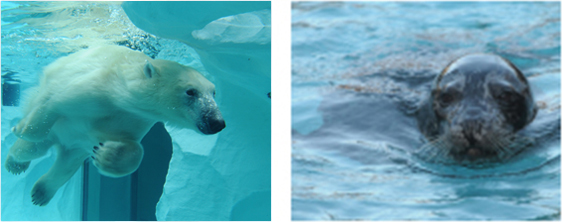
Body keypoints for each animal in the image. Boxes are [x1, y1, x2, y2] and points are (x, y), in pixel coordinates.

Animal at [6, 45, 225, 206]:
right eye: (191, 91)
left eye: (213, 92)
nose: (217, 122)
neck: (120, 94)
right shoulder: (94, 88)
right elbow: (54, 103)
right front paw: (19, 128)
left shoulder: (131, 120)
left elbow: (124, 145)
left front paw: (105, 155)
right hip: (55, 128)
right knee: (32, 148)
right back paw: (15, 163)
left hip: (73, 149)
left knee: (65, 164)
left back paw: (40, 192)